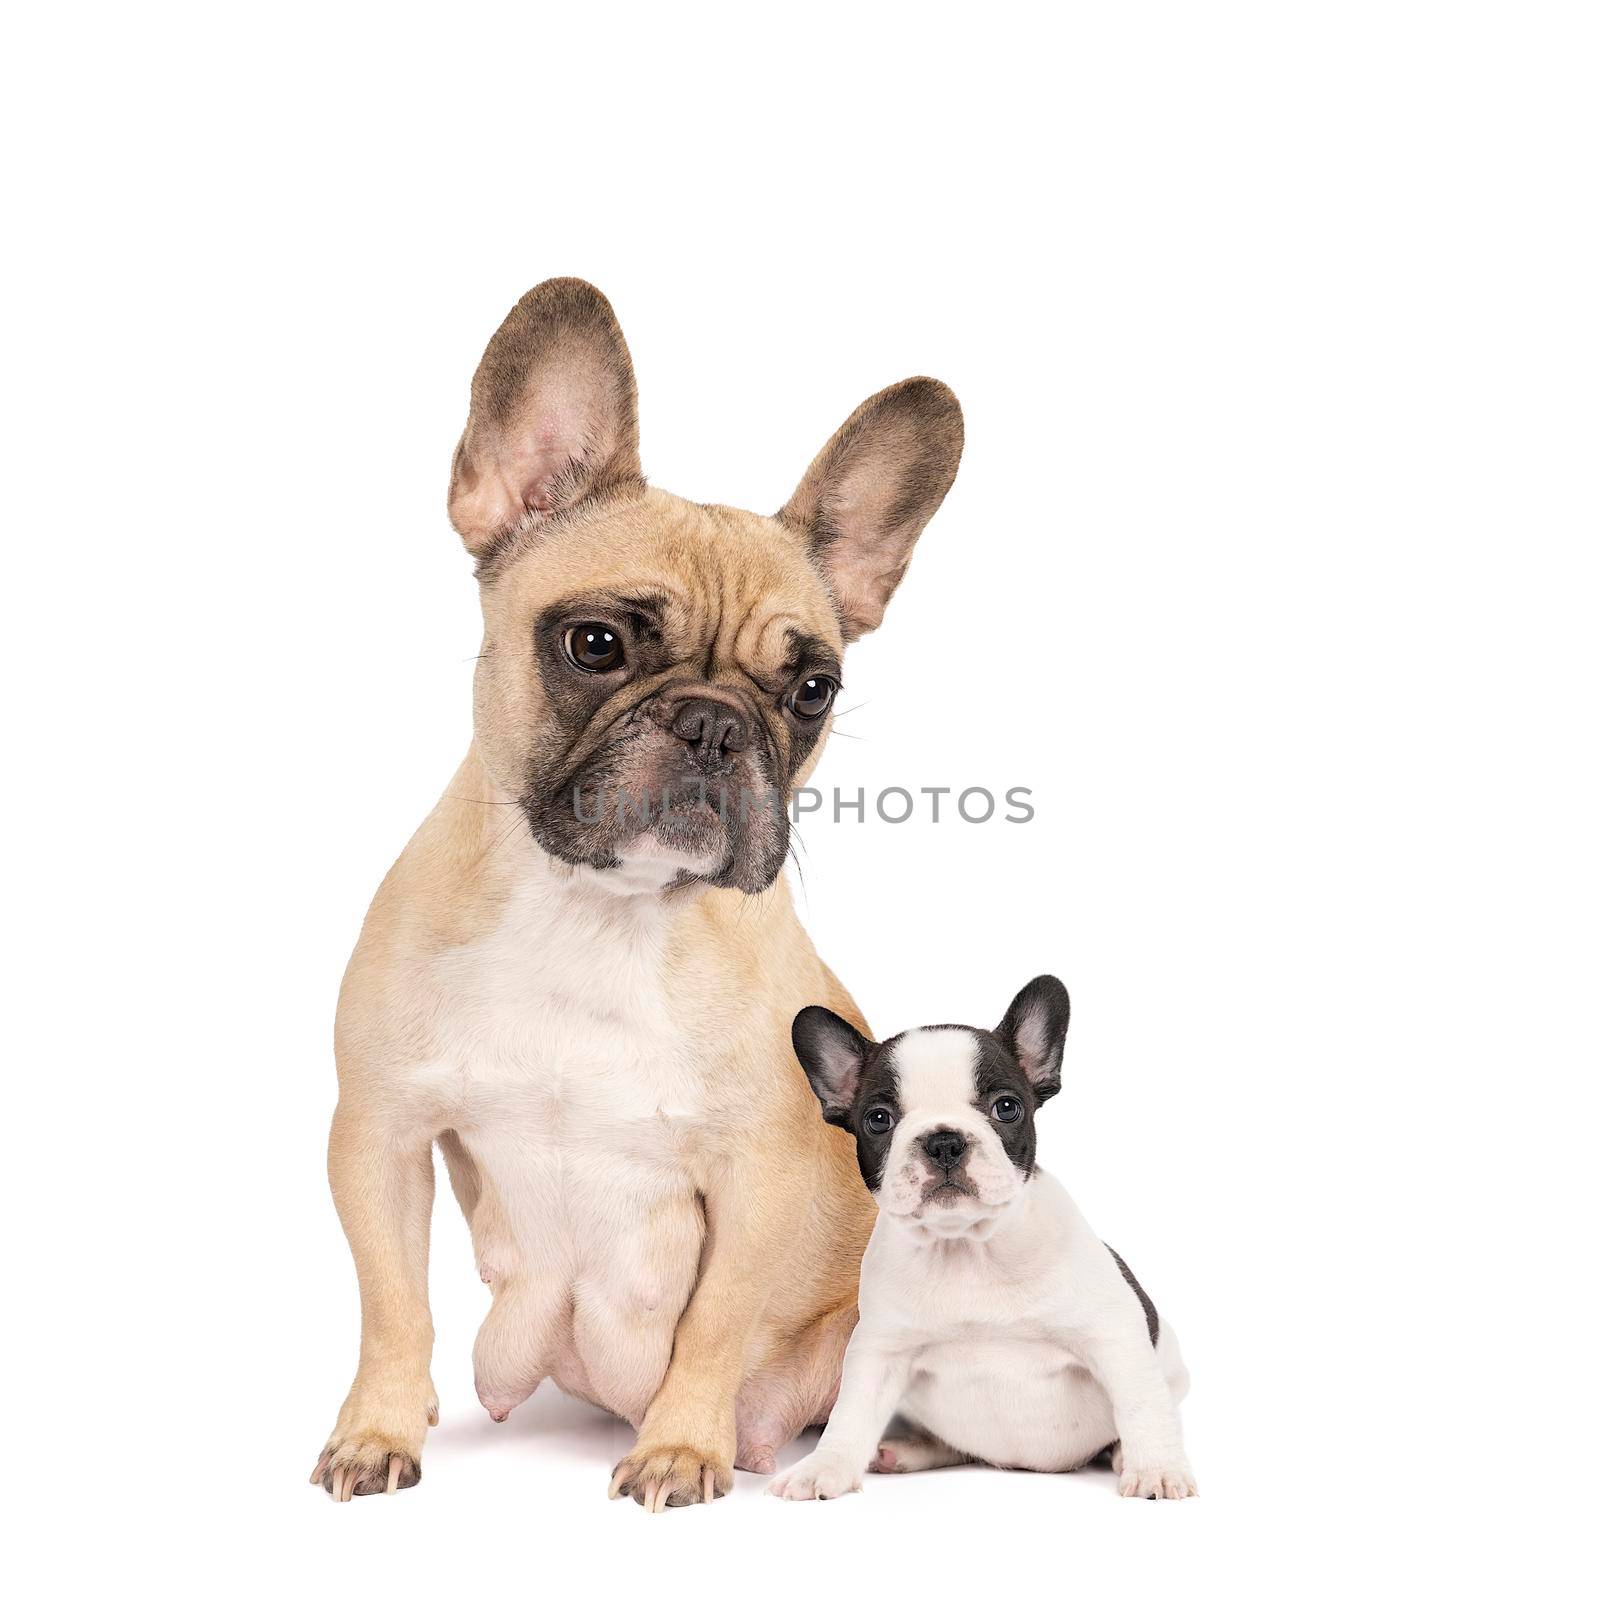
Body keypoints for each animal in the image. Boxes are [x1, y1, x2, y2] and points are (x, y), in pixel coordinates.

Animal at [312, 278, 960, 1510]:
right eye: (596, 642)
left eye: (812, 689)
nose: (713, 723)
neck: (596, 912)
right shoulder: (381, 1134)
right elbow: (391, 1306)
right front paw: (378, 1427)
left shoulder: (755, 1177)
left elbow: (713, 1324)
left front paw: (680, 1448)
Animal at [768, 979, 1196, 1504]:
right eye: (878, 1119)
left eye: (1006, 1107)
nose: (944, 1140)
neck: (968, 1249)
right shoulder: (879, 1351)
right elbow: (850, 1415)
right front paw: (822, 1467)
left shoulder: (1113, 1335)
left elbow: (1139, 1405)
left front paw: (1156, 1469)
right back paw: (903, 1451)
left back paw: (1121, 1455)